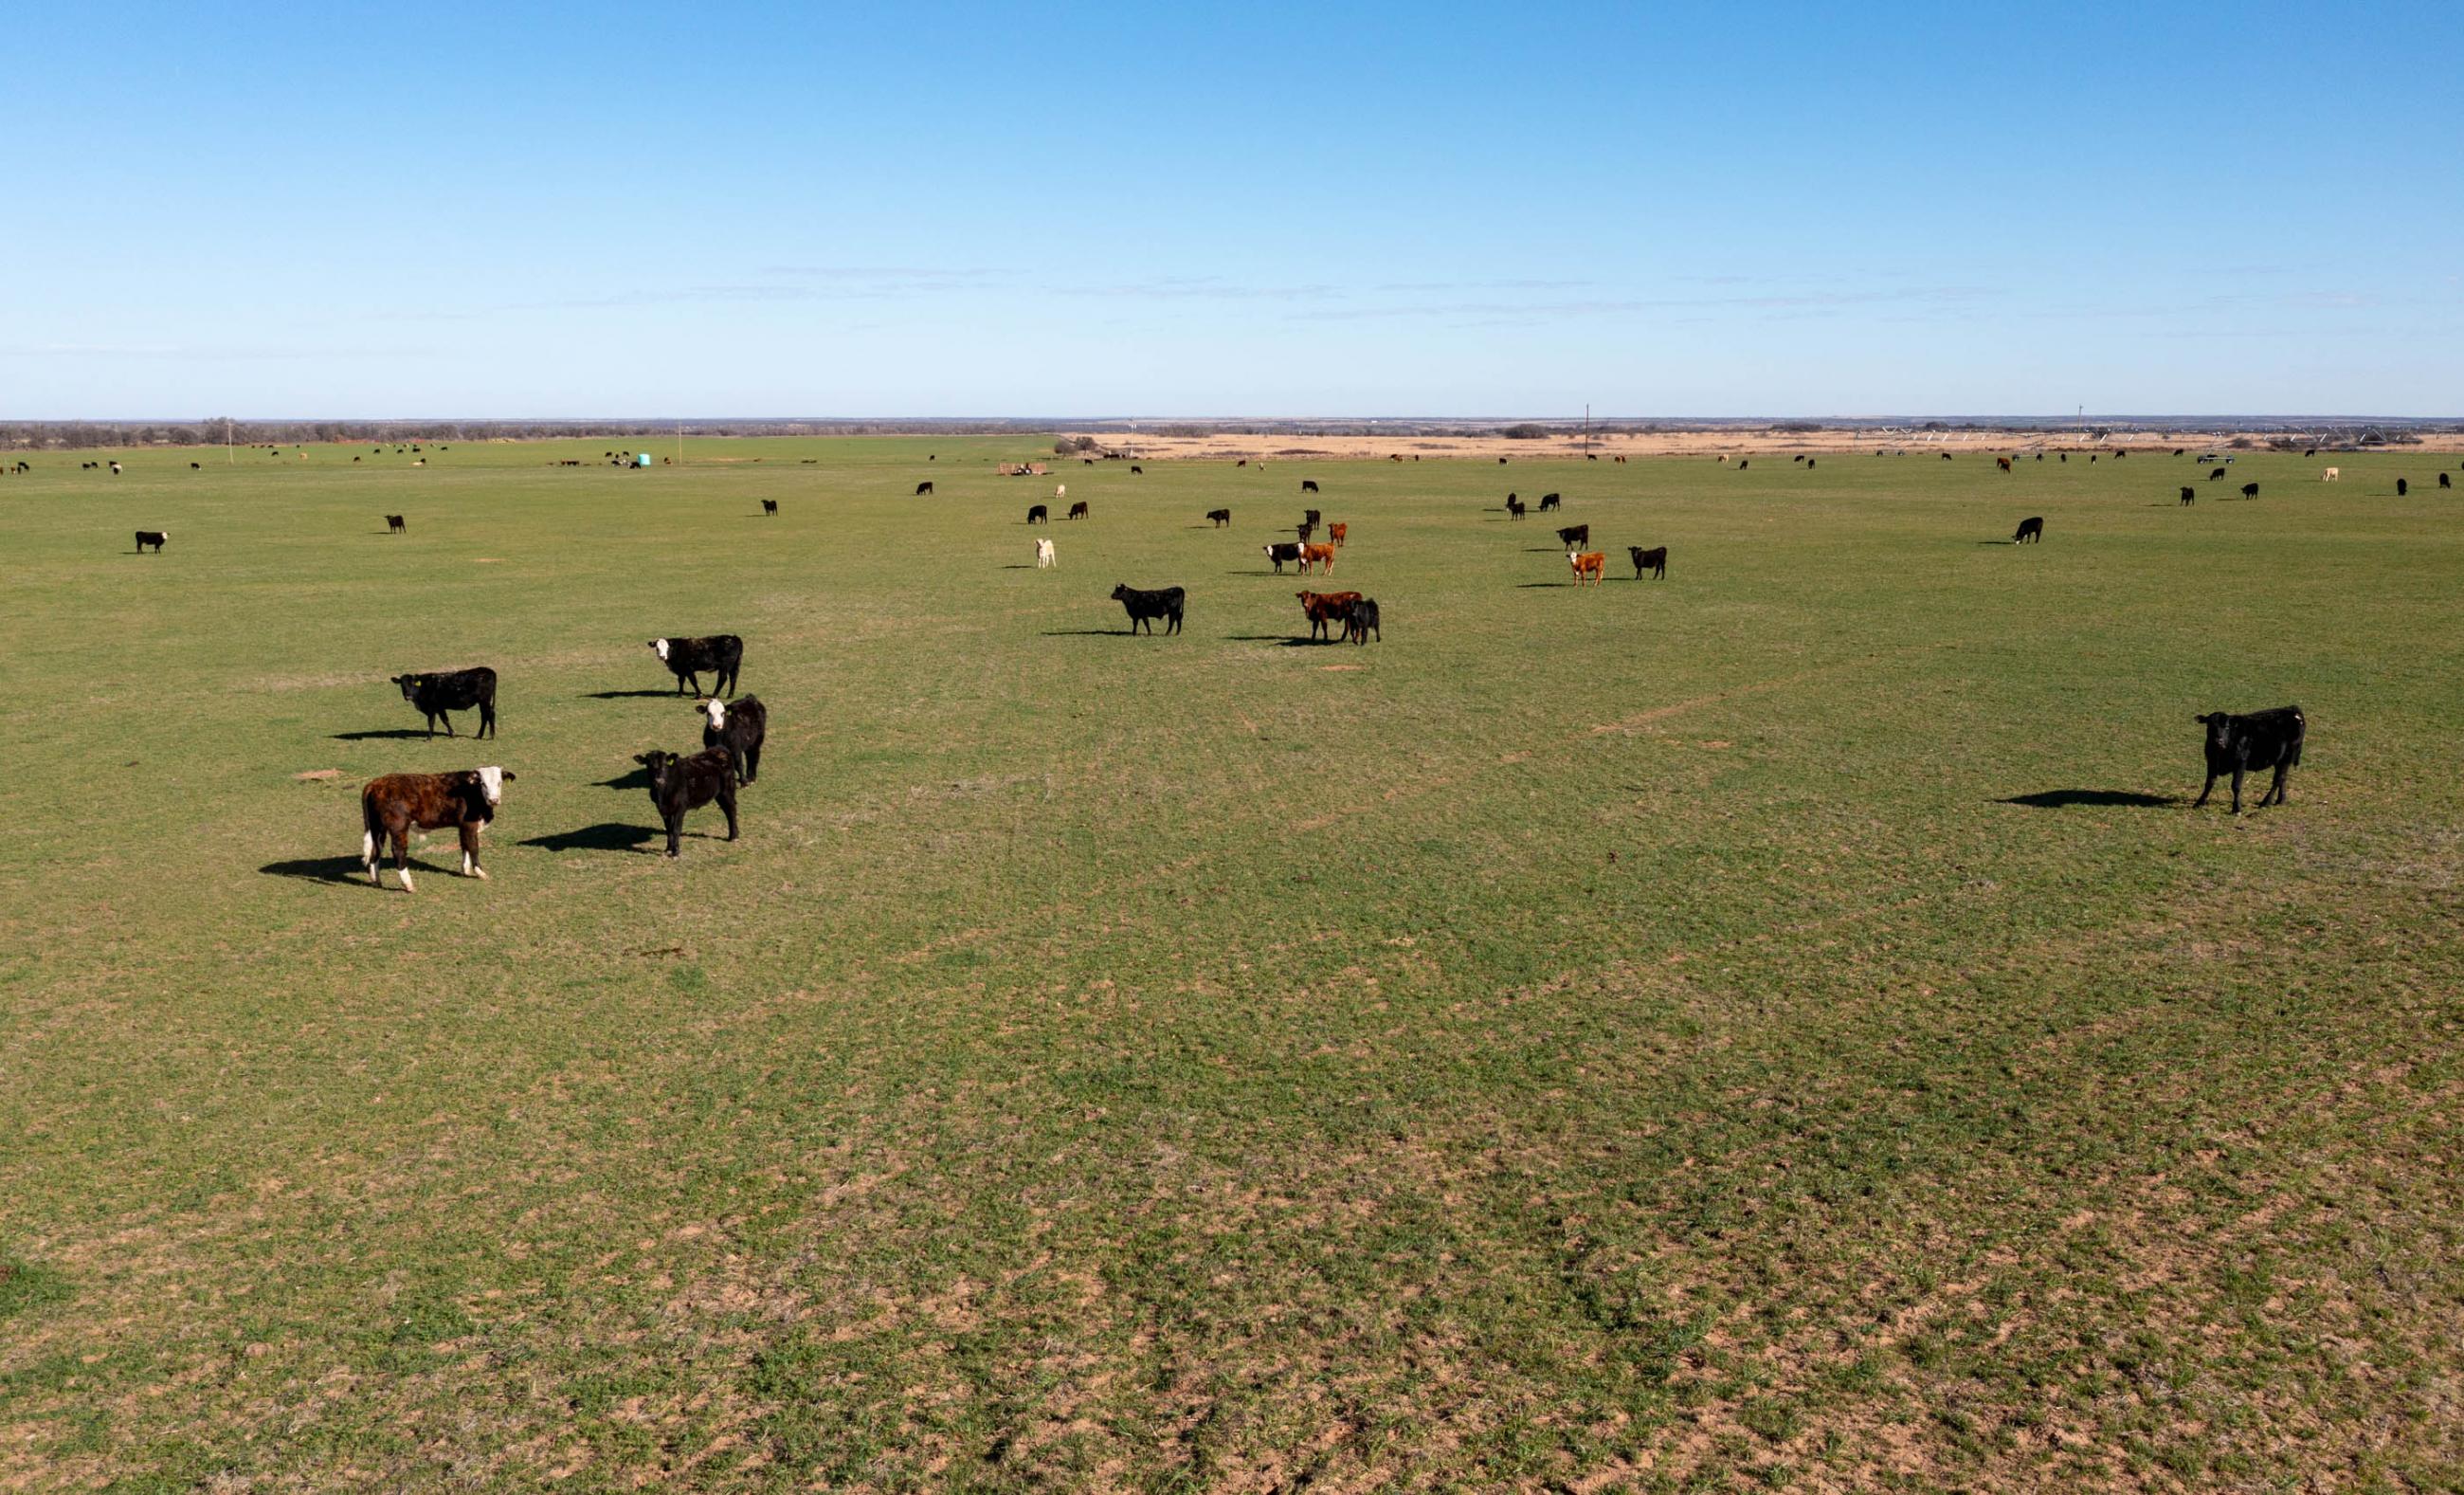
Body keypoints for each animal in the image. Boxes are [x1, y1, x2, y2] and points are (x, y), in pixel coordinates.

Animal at [360, 766, 511, 891]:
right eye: (483, 783)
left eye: (500, 782)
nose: (494, 800)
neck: (472, 791)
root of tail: (376, 783)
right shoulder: (469, 824)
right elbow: (473, 847)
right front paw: (480, 872)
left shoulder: (463, 826)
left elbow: (465, 845)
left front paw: (465, 869)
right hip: (398, 827)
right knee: (398, 851)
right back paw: (409, 885)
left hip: (377, 827)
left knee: (375, 850)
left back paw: (376, 881)